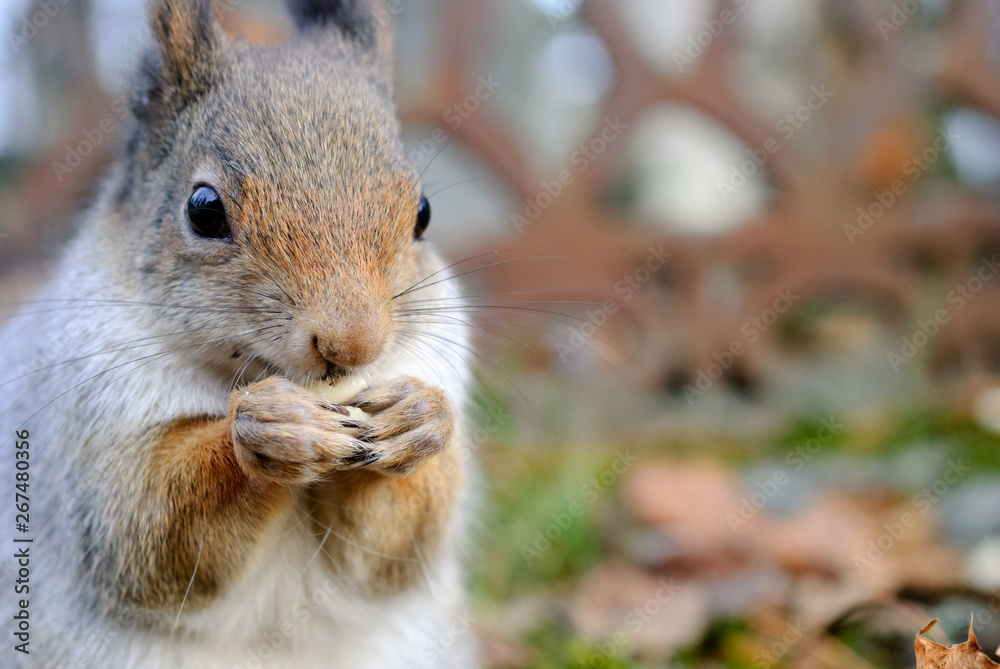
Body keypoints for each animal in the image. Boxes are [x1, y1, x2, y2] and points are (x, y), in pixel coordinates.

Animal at [0, 1, 478, 667]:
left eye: (424, 213)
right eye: (203, 209)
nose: (353, 344)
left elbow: (402, 545)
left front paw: (419, 418)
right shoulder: (85, 430)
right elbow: (146, 530)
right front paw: (269, 428)